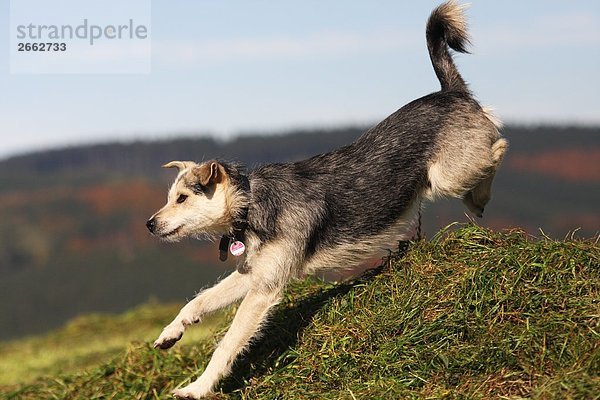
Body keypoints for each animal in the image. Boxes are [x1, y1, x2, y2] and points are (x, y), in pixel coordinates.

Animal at [145, 2, 506, 396]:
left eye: (182, 198)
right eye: (170, 197)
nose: (149, 224)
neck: (252, 202)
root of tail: (451, 92)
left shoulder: (263, 291)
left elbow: (226, 345)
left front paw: (198, 387)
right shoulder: (253, 273)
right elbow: (199, 300)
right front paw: (171, 332)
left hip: (447, 176)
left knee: (499, 145)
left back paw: (481, 195)